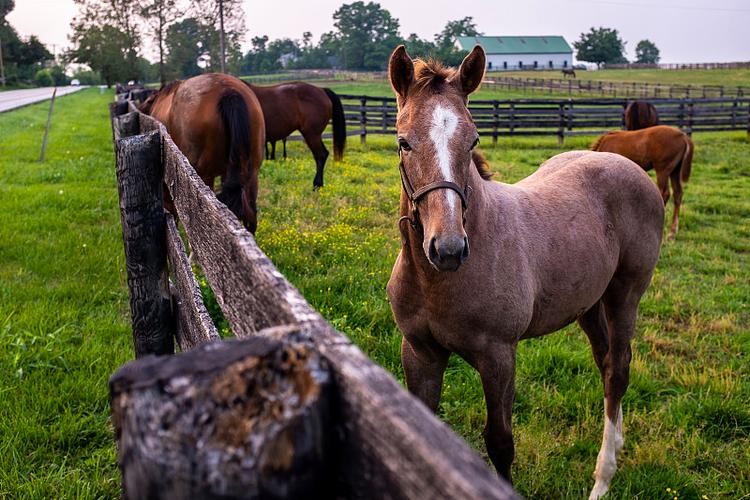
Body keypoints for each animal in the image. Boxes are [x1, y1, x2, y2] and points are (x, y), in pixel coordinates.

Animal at [385, 45, 664, 500]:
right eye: (403, 142)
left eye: (473, 139)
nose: (448, 249)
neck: (436, 283)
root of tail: (627, 164)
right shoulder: (420, 352)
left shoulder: (499, 356)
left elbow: (500, 441)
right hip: (589, 303)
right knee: (605, 362)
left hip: (626, 294)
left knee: (618, 369)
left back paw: (603, 477)